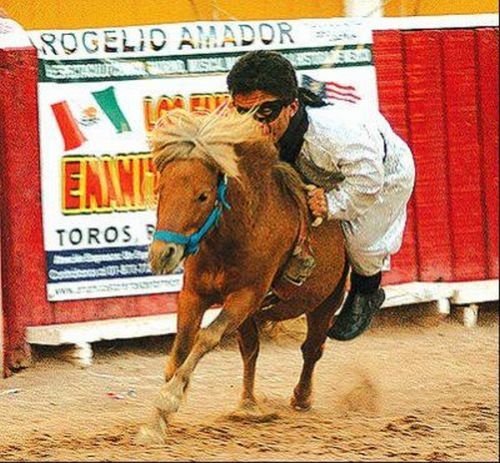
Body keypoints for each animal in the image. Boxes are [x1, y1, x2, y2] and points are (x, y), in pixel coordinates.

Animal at [144, 109, 348, 442]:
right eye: (161, 190)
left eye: (203, 196)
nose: (163, 254)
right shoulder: (193, 295)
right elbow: (181, 349)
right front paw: (157, 421)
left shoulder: (245, 296)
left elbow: (206, 337)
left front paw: (168, 399)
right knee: (251, 351)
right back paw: (248, 405)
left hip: (326, 302)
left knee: (312, 349)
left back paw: (301, 397)